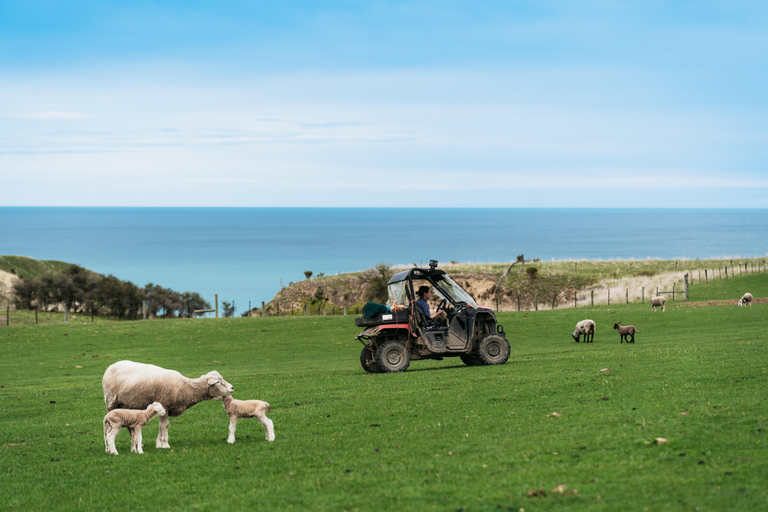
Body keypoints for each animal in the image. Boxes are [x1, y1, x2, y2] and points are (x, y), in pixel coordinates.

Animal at [102, 358, 234, 450]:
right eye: (218, 382)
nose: (232, 388)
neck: (185, 388)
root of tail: (110, 367)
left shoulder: (165, 408)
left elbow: (162, 426)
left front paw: (159, 443)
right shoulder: (164, 404)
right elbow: (164, 425)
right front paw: (165, 444)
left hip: (126, 406)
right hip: (111, 403)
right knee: (108, 427)